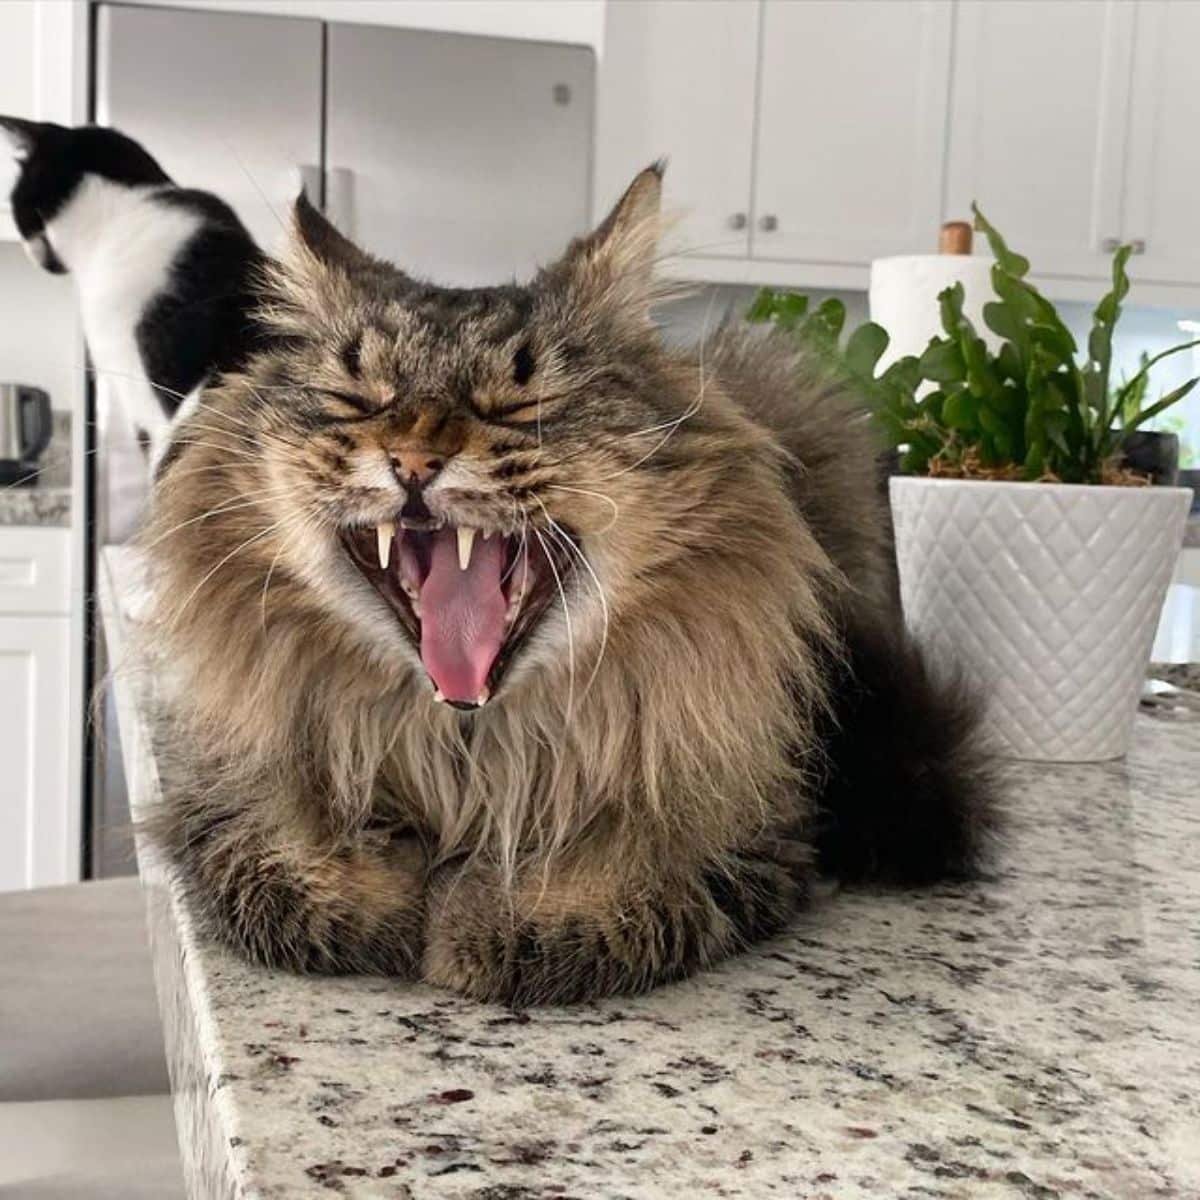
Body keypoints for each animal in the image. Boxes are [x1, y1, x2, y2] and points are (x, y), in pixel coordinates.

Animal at [140, 162, 993, 1003]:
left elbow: (623, 866)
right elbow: (280, 860)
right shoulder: (216, 780)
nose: (414, 462)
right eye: (359, 400)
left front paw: (491, 925)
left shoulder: (752, 819)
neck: (468, 750)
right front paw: (380, 904)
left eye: (522, 404)